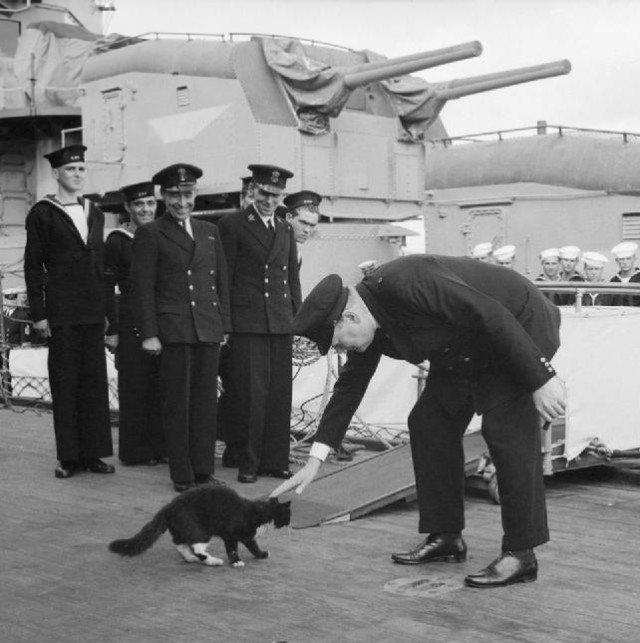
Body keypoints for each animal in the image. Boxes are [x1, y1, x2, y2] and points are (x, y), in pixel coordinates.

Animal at [109, 486, 292, 568]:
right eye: (289, 515)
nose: (291, 524)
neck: (260, 512)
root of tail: (169, 507)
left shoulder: (247, 535)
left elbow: (253, 546)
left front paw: (262, 554)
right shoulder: (231, 534)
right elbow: (233, 549)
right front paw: (236, 562)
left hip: (181, 529)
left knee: (181, 545)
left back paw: (190, 558)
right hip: (200, 530)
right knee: (197, 547)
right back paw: (213, 560)